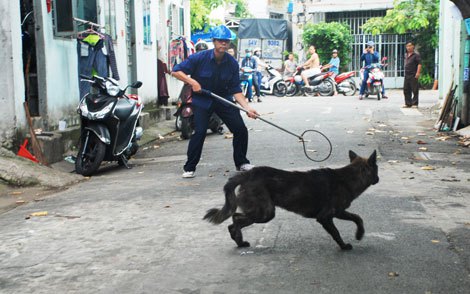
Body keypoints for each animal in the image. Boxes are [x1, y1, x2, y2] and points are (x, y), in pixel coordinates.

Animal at [204, 152, 380, 250]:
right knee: (235, 219)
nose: (378, 179)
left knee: (234, 219)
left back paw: (238, 241)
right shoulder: (325, 217)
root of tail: (248, 174)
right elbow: (336, 232)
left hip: (262, 212)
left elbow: (357, 218)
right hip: (265, 213)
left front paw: (359, 234)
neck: (347, 178)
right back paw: (238, 239)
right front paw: (343, 246)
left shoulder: (339, 212)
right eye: (377, 169)